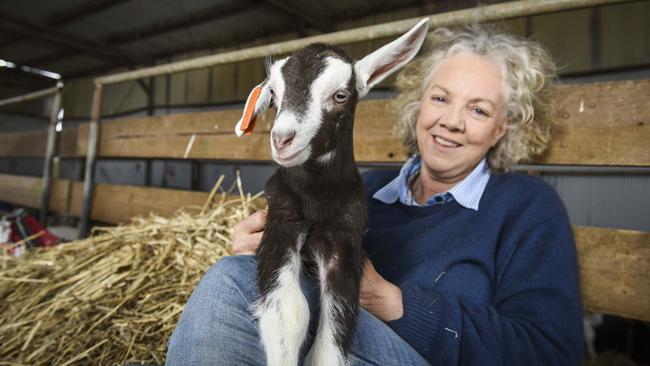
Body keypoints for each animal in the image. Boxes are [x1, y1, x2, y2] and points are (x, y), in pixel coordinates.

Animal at [235, 18, 428, 364]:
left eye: (340, 95)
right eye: (274, 94)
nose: (282, 139)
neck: (316, 196)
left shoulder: (345, 239)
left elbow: (330, 345)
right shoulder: (281, 217)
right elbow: (288, 312)